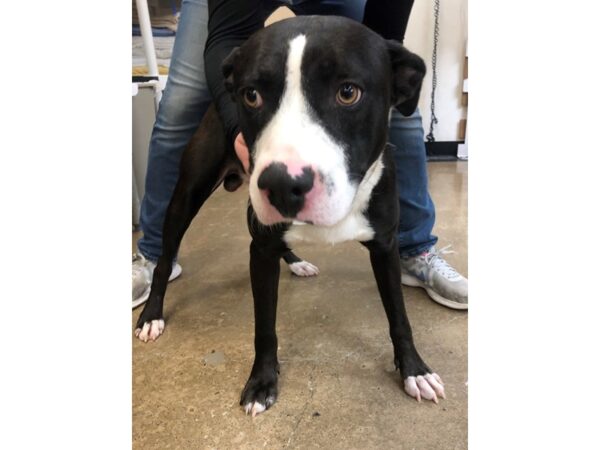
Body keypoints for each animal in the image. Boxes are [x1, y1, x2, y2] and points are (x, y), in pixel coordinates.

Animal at [136, 16, 446, 418]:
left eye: (348, 92)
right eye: (252, 95)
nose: (282, 185)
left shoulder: (385, 246)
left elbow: (400, 316)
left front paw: (414, 370)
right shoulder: (261, 250)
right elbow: (265, 327)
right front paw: (261, 383)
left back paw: (297, 262)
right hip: (186, 196)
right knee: (164, 259)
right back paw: (151, 316)